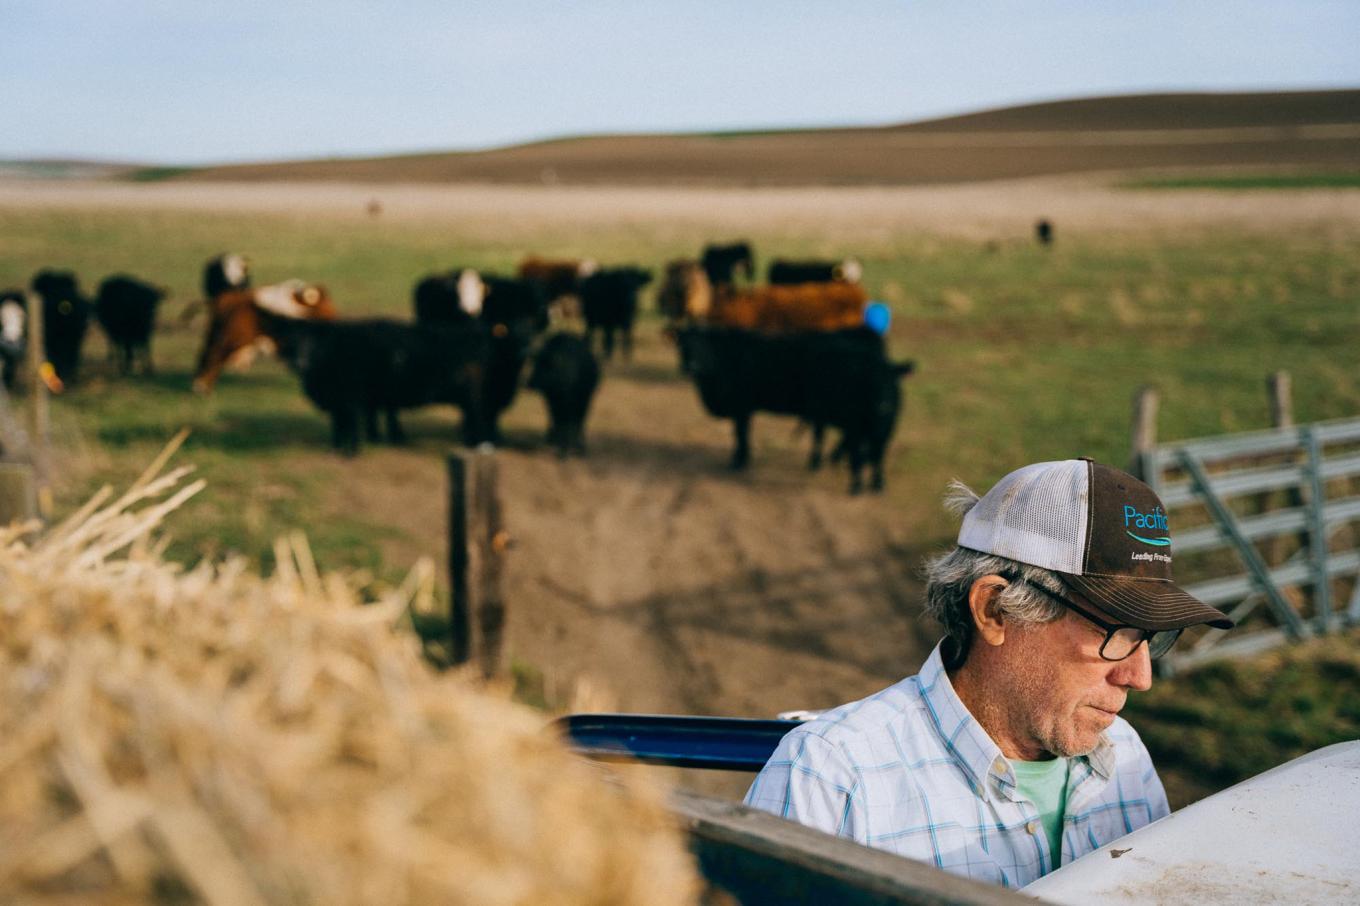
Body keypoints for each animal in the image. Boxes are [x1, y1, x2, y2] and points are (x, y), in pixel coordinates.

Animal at [677, 326, 913, 495]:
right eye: (684, 345)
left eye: (702, 344)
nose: (691, 366)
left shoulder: (742, 408)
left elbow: (741, 435)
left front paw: (739, 461)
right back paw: (826, 461)